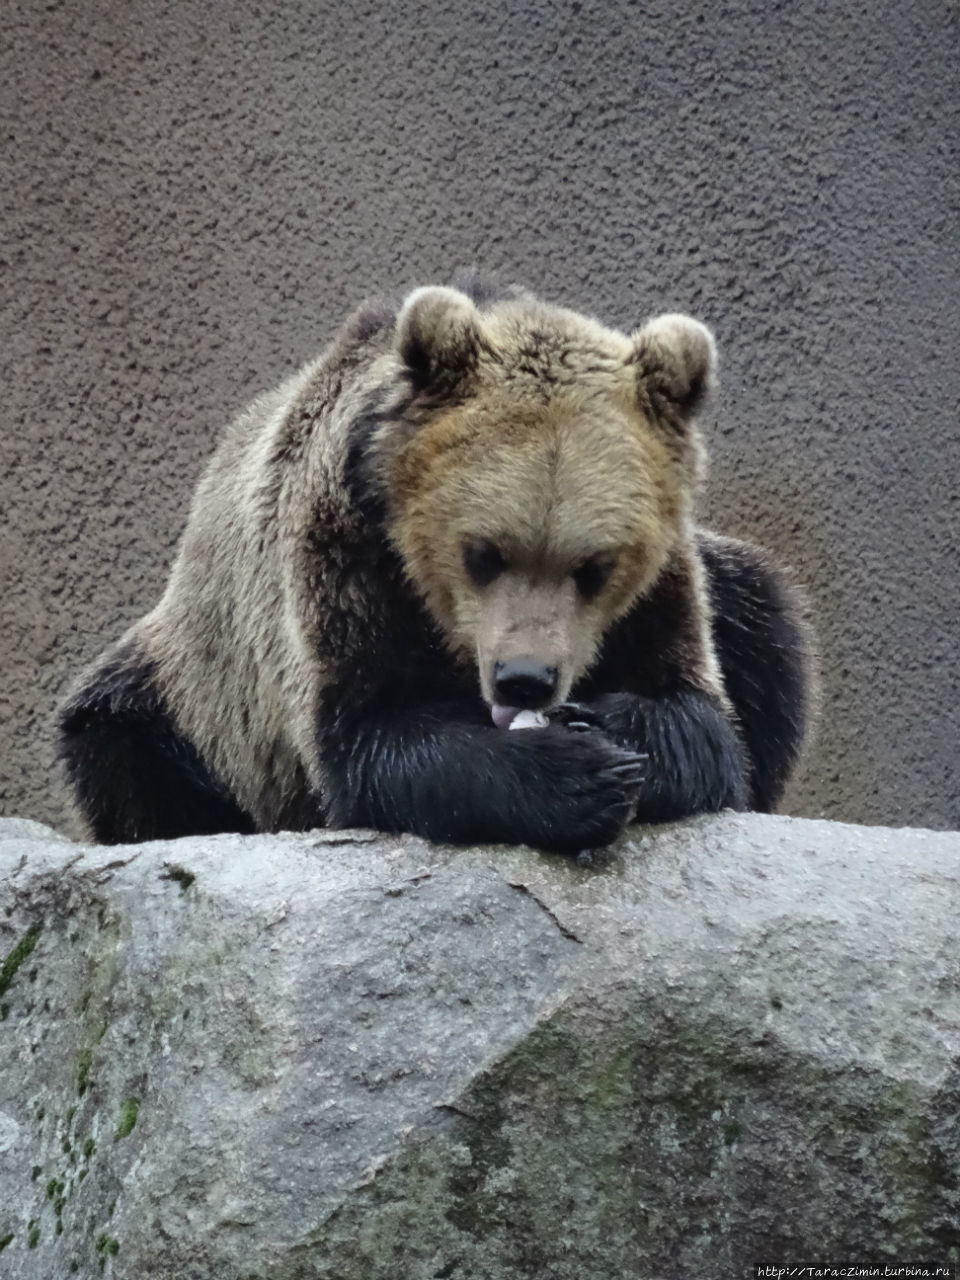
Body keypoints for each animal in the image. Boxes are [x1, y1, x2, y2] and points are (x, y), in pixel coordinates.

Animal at [58, 272, 814, 849]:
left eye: (594, 566)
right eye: (483, 553)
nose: (524, 679)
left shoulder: (662, 586)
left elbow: (704, 721)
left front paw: (612, 729)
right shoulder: (345, 554)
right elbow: (373, 737)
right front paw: (571, 772)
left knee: (764, 617)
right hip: (197, 694)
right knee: (122, 744)